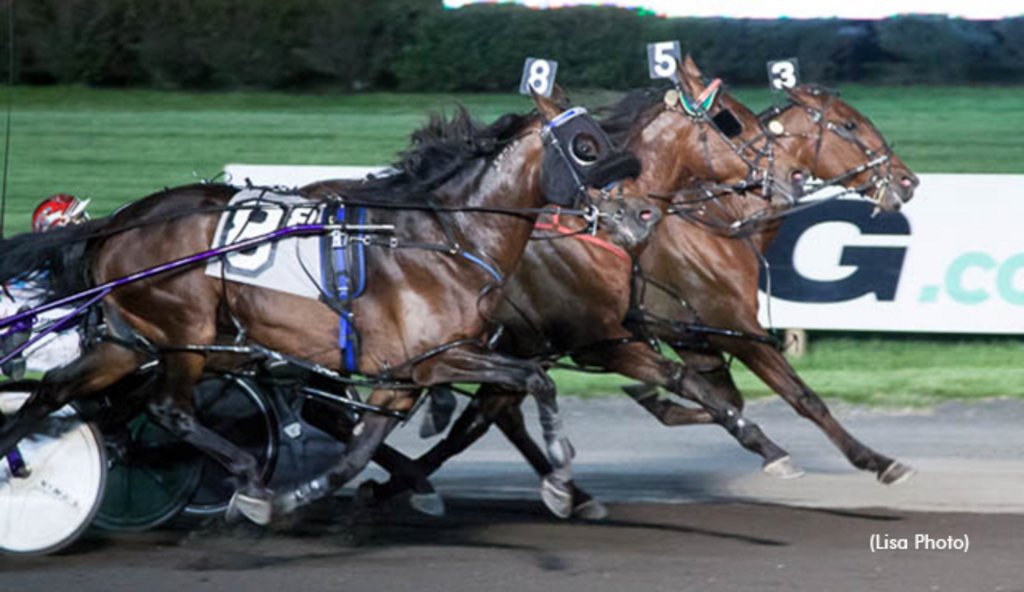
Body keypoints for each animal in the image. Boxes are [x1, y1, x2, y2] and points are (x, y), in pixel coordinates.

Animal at [0, 94, 655, 522]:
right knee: (167, 408)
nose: (641, 214)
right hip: (185, 331)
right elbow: (539, 380)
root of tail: (117, 223)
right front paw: (561, 478)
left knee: (56, 392)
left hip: (135, 341)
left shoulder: (400, 379)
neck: (443, 238)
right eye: (588, 146)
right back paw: (246, 473)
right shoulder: (437, 359)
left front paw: (305, 495)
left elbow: (357, 452)